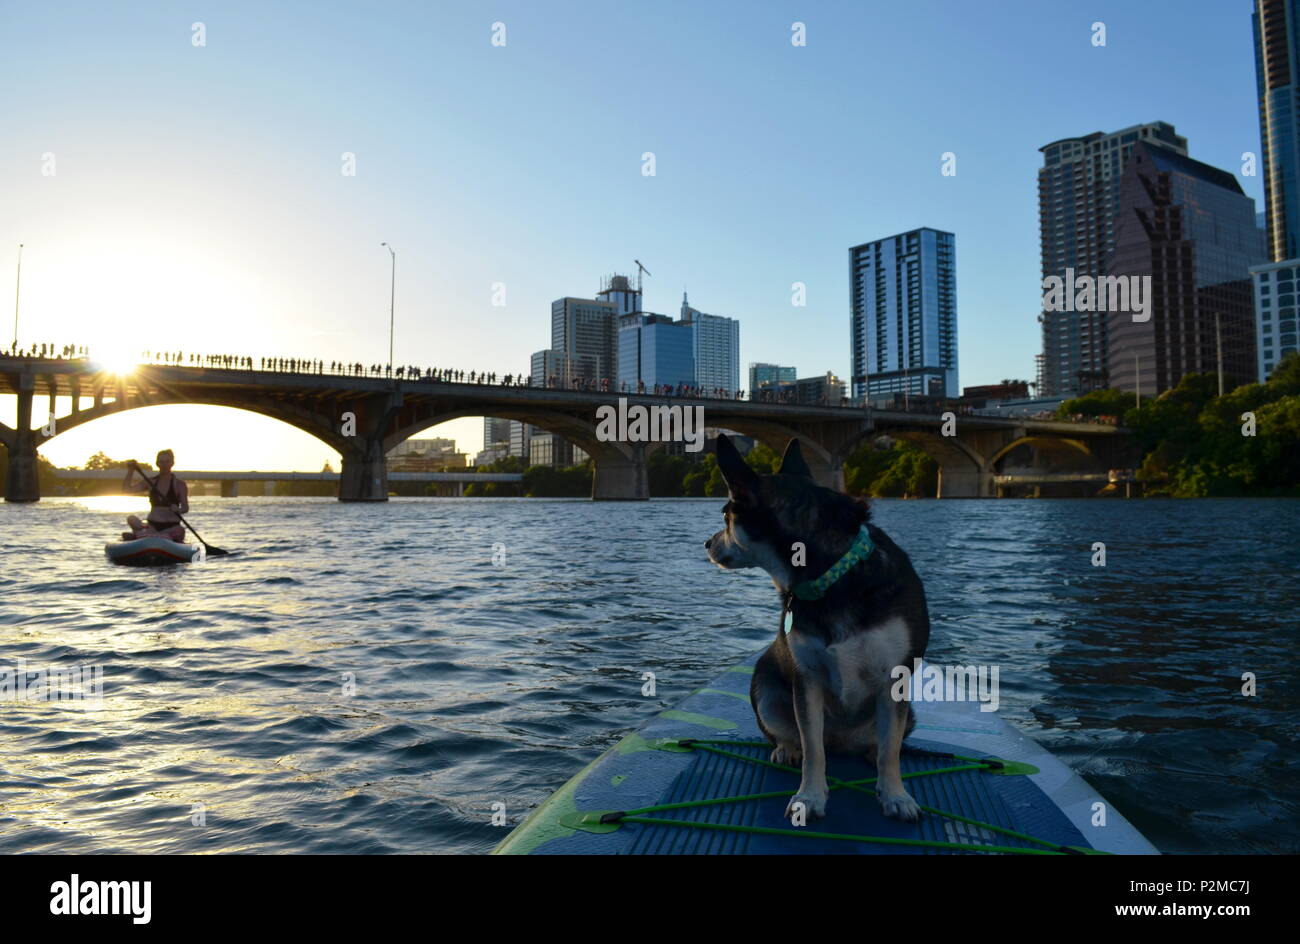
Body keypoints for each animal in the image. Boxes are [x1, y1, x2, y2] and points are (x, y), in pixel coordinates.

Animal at [707, 434, 930, 821]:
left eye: (726, 515)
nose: (707, 543)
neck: (831, 573)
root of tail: (842, 742)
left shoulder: (895, 679)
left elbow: (890, 751)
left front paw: (896, 795)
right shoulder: (807, 681)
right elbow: (813, 748)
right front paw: (809, 797)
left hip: (908, 712)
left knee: (883, 744)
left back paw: (869, 754)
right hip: (765, 689)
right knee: (799, 737)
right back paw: (787, 749)